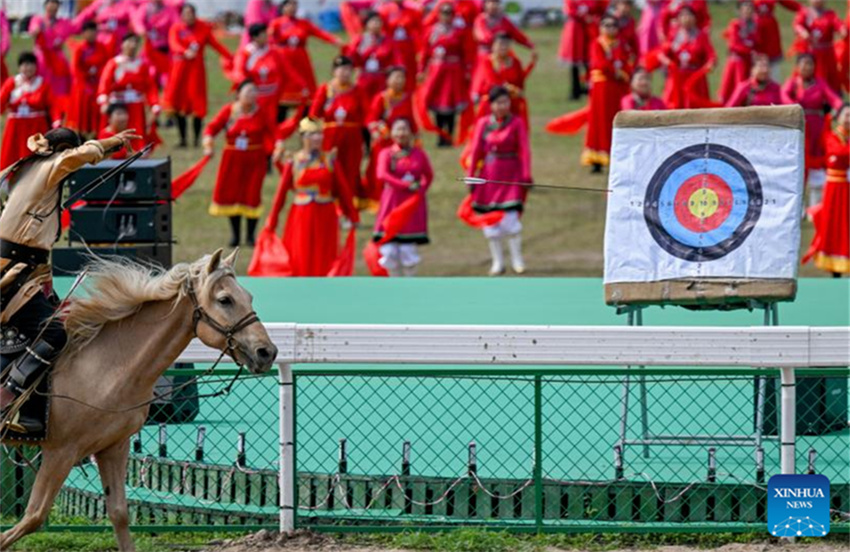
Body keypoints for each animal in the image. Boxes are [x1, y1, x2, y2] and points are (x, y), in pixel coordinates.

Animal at [0, 249, 276, 552]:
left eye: (248, 296)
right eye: (225, 299)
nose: (267, 352)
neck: (107, 364)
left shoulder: (113, 447)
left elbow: (119, 513)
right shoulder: (60, 452)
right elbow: (34, 516)